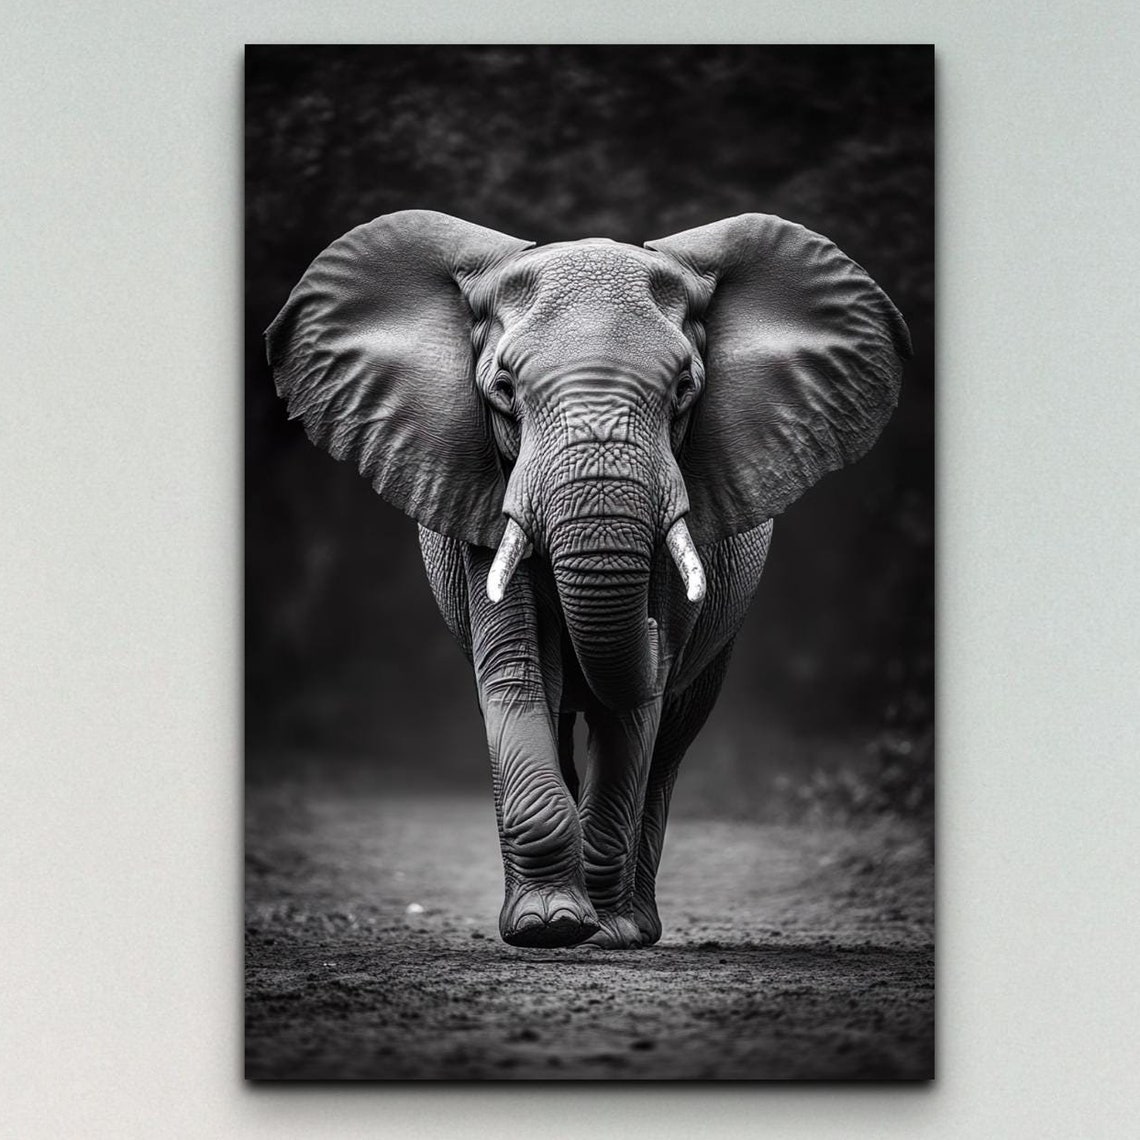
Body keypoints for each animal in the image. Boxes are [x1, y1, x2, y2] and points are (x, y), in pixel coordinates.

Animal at [266, 209, 910, 950]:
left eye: (684, 390)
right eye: (504, 393)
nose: (658, 631)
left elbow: (632, 713)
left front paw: (605, 935)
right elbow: (516, 671)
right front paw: (548, 927)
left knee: (669, 743)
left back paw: (634, 921)